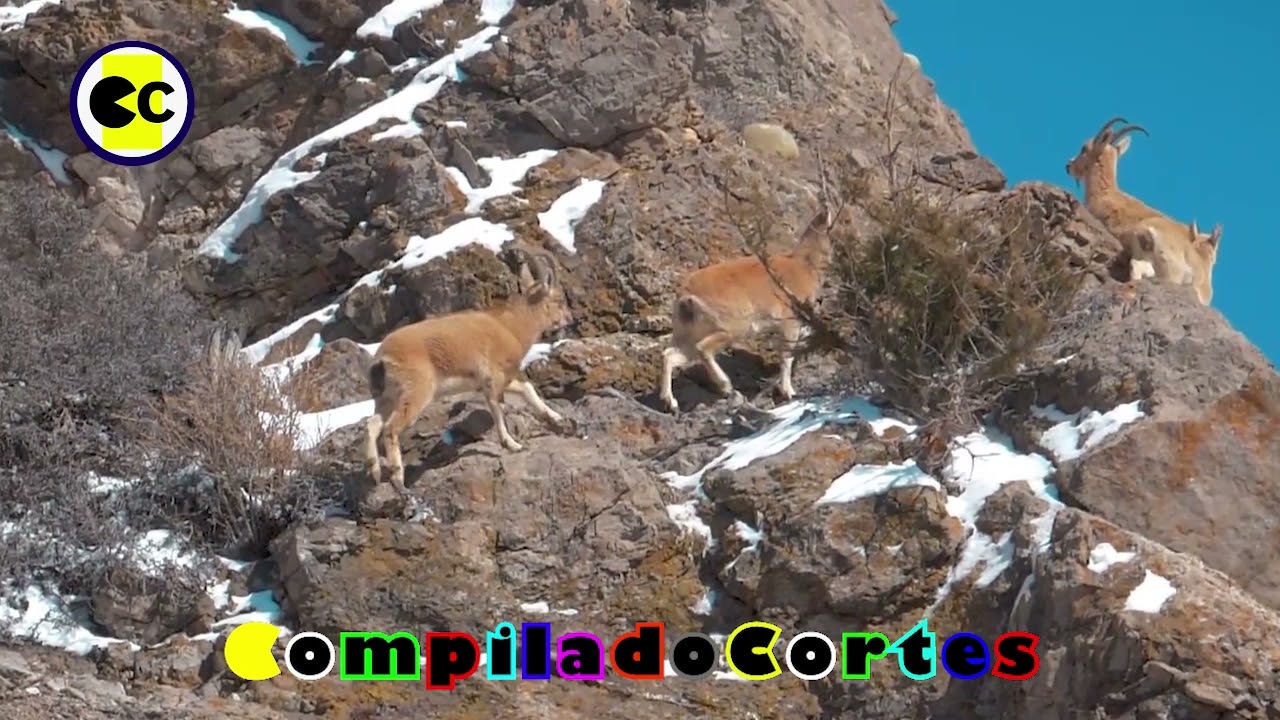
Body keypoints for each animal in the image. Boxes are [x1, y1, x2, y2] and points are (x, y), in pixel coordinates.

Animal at [364, 248, 573, 492]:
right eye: (559, 299)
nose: (569, 319)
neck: (510, 327)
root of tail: (381, 359)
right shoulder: (492, 378)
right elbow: (497, 409)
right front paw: (512, 444)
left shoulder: (500, 379)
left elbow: (527, 390)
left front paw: (556, 418)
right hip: (416, 392)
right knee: (390, 428)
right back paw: (397, 477)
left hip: (386, 398)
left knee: (372, 425)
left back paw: (374, 472)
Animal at [657, 157, 842, 413]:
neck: (804, 266)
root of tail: (686, 297)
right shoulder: (789, 322)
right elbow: (787, 357)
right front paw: (788, 391)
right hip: (732, 325)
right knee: (703, 349)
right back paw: (725, 385)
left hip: (688, 333)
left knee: (670, 355)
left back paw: (670, 402)